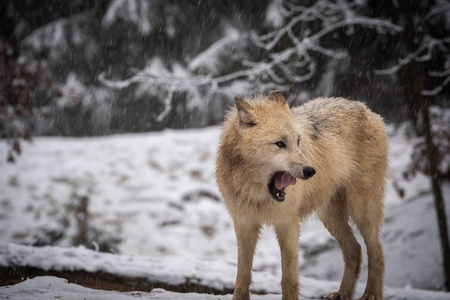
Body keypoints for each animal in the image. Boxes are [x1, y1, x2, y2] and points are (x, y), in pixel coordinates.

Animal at [214, 91, 386, 300]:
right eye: (280, 143)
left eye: (298, 141)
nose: (310, 171)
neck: (255, 191)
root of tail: (366, 108)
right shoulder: (244, 224)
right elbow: (242, 274)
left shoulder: (288, 224)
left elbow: (288, 277)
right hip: (330, 215)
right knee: (355, 249)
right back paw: (342, 293)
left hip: (362, 210)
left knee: (376, 251)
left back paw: (372, 293)